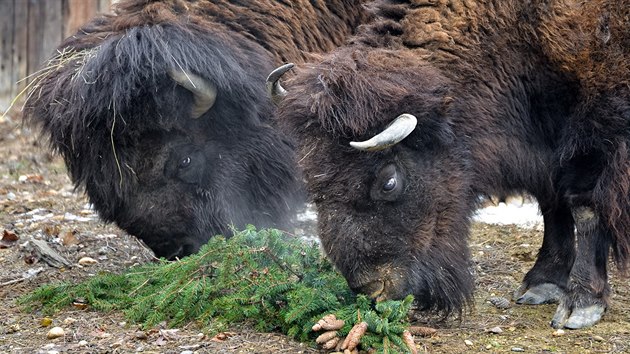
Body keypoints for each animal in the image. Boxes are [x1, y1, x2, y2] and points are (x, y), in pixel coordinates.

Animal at [272, 0, 630, 330]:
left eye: (388, 181)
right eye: (312, 179)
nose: (373, 290)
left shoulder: (594, 137)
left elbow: (583, 207)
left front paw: (580, 304)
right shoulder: (542, 150)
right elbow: (552, 203)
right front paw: (542, 284)